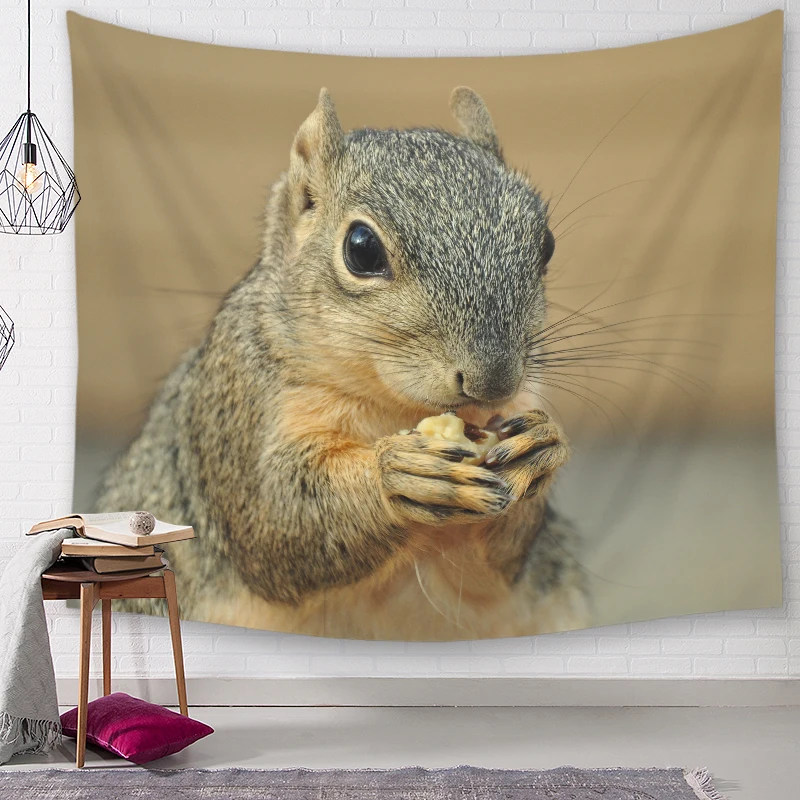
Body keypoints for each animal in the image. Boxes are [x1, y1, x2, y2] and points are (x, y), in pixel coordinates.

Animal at [94, 87, 591, 641]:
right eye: (362, 249)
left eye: (546, 244)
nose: (494, 381)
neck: (394, 406)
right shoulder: (236, 407)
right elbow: (276, 525)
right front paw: (393, 474)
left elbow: (497, 568)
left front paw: (542, 446)